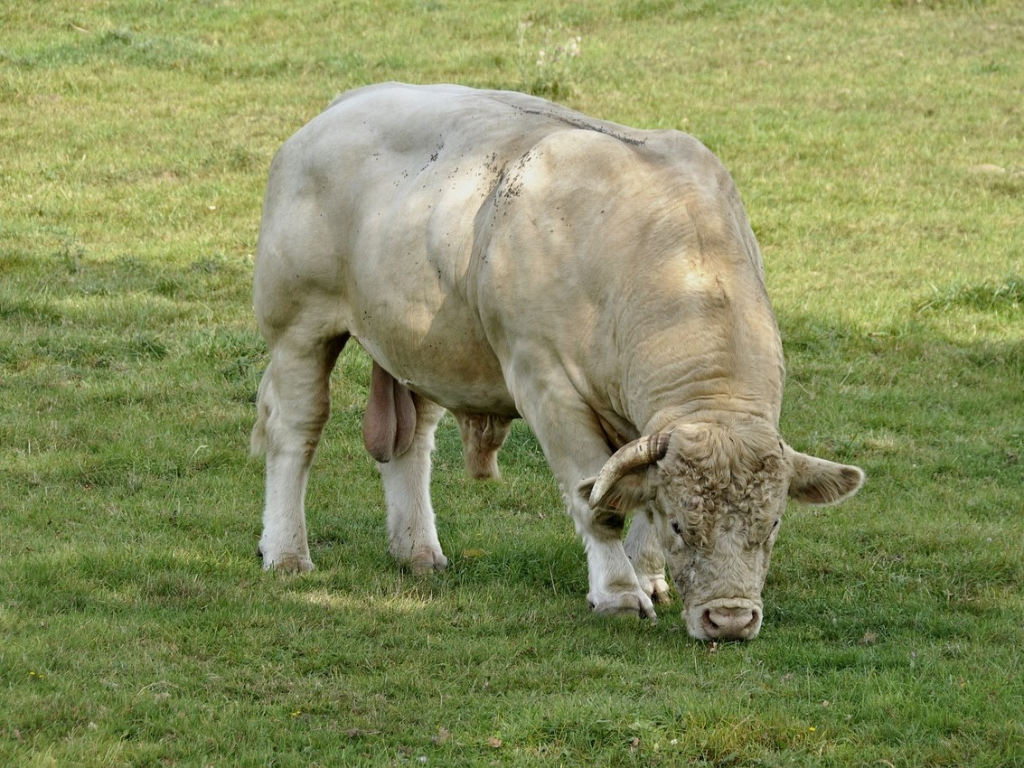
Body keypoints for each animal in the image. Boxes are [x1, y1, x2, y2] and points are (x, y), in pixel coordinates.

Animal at [250, 82, 865, 641]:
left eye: (774, 522)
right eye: (682, 525)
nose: (731, 619)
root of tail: (344, 103)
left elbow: (633, 484)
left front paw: (648, 576)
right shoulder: (545, 385)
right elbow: (596, 502)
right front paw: (619, 591)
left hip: (420, 344)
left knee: (410, 442)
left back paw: (418, 550)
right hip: (299, 326)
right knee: (296, 432)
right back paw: (287, 552)